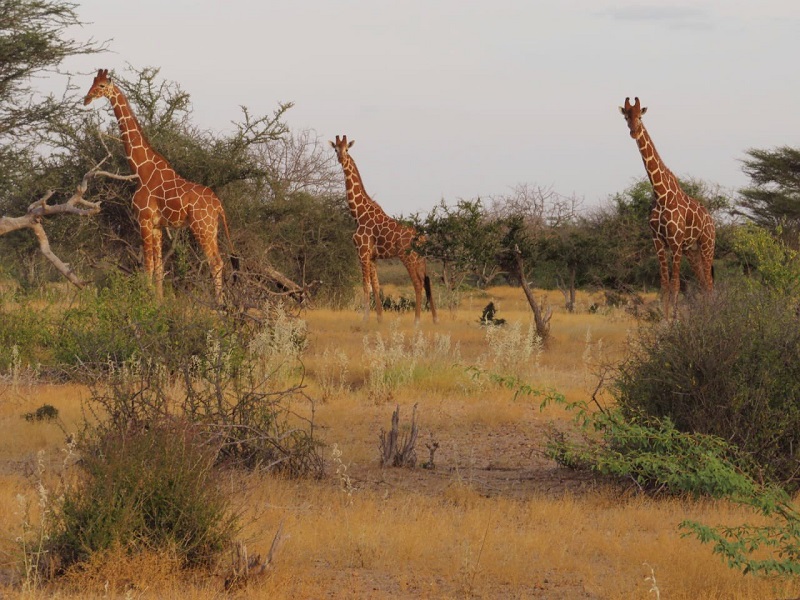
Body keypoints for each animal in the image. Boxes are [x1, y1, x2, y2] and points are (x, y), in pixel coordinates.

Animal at [83, 69, 237, 305]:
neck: (141, 169)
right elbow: (158, 267)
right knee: (219, 261)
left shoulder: (144, 220)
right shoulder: (157, 226)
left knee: (215, 262)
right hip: (212, 228)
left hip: (201, 227)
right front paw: (159, 301)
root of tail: (218, 205)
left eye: (101, 86)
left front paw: (145, 300)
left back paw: (218, 305)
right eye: (92, 82)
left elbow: (147, 266)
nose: (86, 99)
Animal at [329, 135, 437, 324]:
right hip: (420, 259)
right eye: (336, 149)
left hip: (407, 257)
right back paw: (434, 319)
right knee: (427, 282)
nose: (341, 158)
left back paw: (417, 321)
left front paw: (365, 320)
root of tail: (423, 238)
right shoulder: (373, 256)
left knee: (417, 284)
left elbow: (365, 285)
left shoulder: (362, 252)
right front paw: (379, 318)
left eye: (347, 149)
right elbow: (376, 285)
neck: (358, 214)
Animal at [619, 97, 715, 319]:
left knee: (709, 283)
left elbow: (676, 283)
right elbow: (664, 283)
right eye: (627, 117)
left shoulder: (676, 241)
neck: (660, 194)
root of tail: (712, 220)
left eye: (640, 116)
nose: (633, 132)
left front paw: (675, 319)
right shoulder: (658, 241)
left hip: (707, 245)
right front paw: (664, 320)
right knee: (702, 281)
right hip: (692, 250)